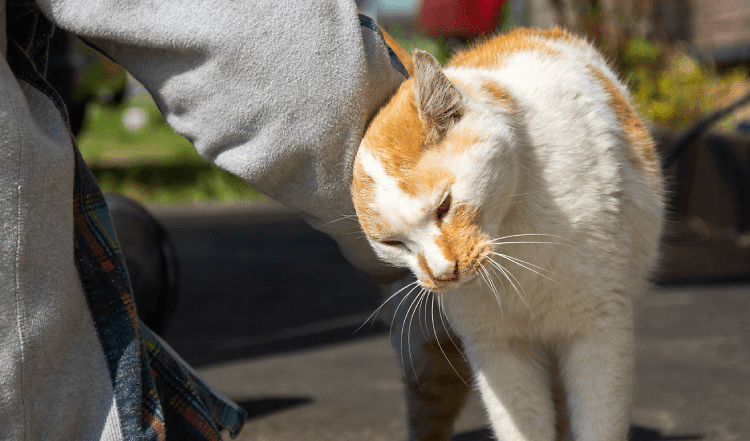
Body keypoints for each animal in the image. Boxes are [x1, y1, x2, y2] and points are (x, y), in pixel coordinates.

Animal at [352, 28, 664, 440]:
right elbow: (521, 423)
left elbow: (598, 422)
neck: (511, 243)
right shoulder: (497, 347)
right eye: (391, 243)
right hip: (427, 353)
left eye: (444, 206)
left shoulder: (599, 328)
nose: (443, 274)